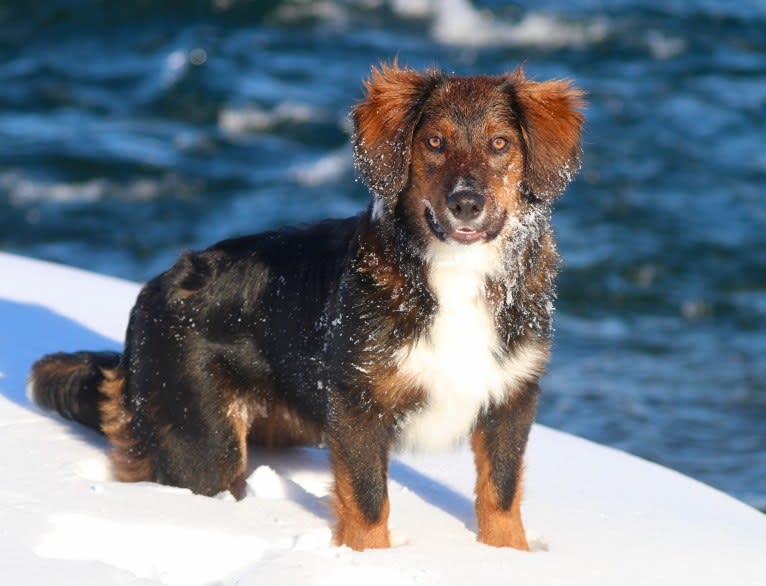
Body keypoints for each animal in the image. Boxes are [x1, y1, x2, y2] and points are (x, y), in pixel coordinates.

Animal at [27, 64, 584, 552]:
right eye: (434, 142)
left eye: (500, 144)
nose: (466, 203)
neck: (456, 272)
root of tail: (152, 290)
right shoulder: (357, 406)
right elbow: (368, 503)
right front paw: (371, 562)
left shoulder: (510, 396)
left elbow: (501, 495)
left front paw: (507, 558)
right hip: (203, 441)